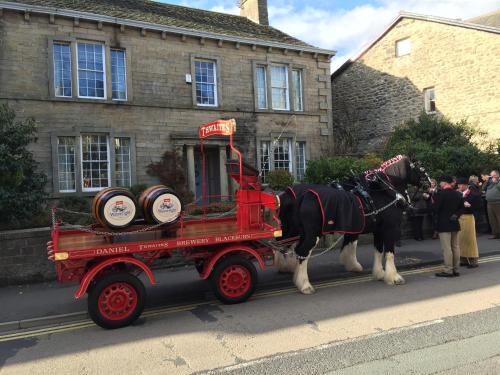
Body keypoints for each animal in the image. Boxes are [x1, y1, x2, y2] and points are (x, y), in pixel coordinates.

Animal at [276, 156, 432, 296]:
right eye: (422, 169)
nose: (431, 185)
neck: (385, 188)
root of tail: (302, 196)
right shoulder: (390, 227)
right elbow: (389, 253)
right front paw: (393, 277)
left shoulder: (378, 229)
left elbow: (377, 250)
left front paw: (379, 273)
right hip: (312, 234)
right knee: (302, 251)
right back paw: (304, 285)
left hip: (292, 230)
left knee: (285, 247)